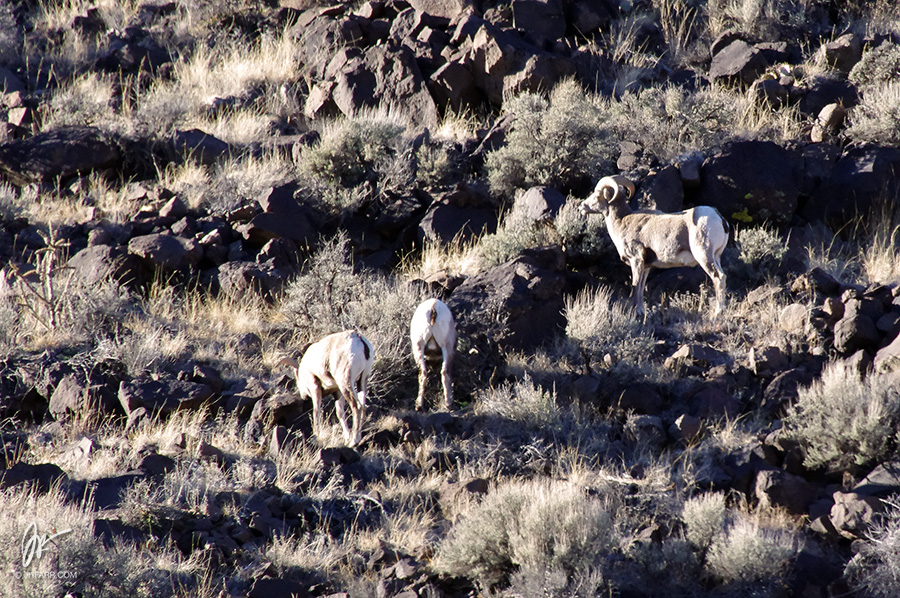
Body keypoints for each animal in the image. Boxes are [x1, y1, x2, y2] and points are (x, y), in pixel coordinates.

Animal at [584, 176, 732, 322]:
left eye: (597, 194)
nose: (582, 206)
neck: (622, 221)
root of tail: (720, 218)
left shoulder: (636, 261)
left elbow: (635, 286)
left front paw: (636, 314)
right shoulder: (646, 266)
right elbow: (641, 287)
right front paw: (641, 312)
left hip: (704, 256)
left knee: (718, 277)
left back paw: (716, 314)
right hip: (716, 257)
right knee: (723, 277)